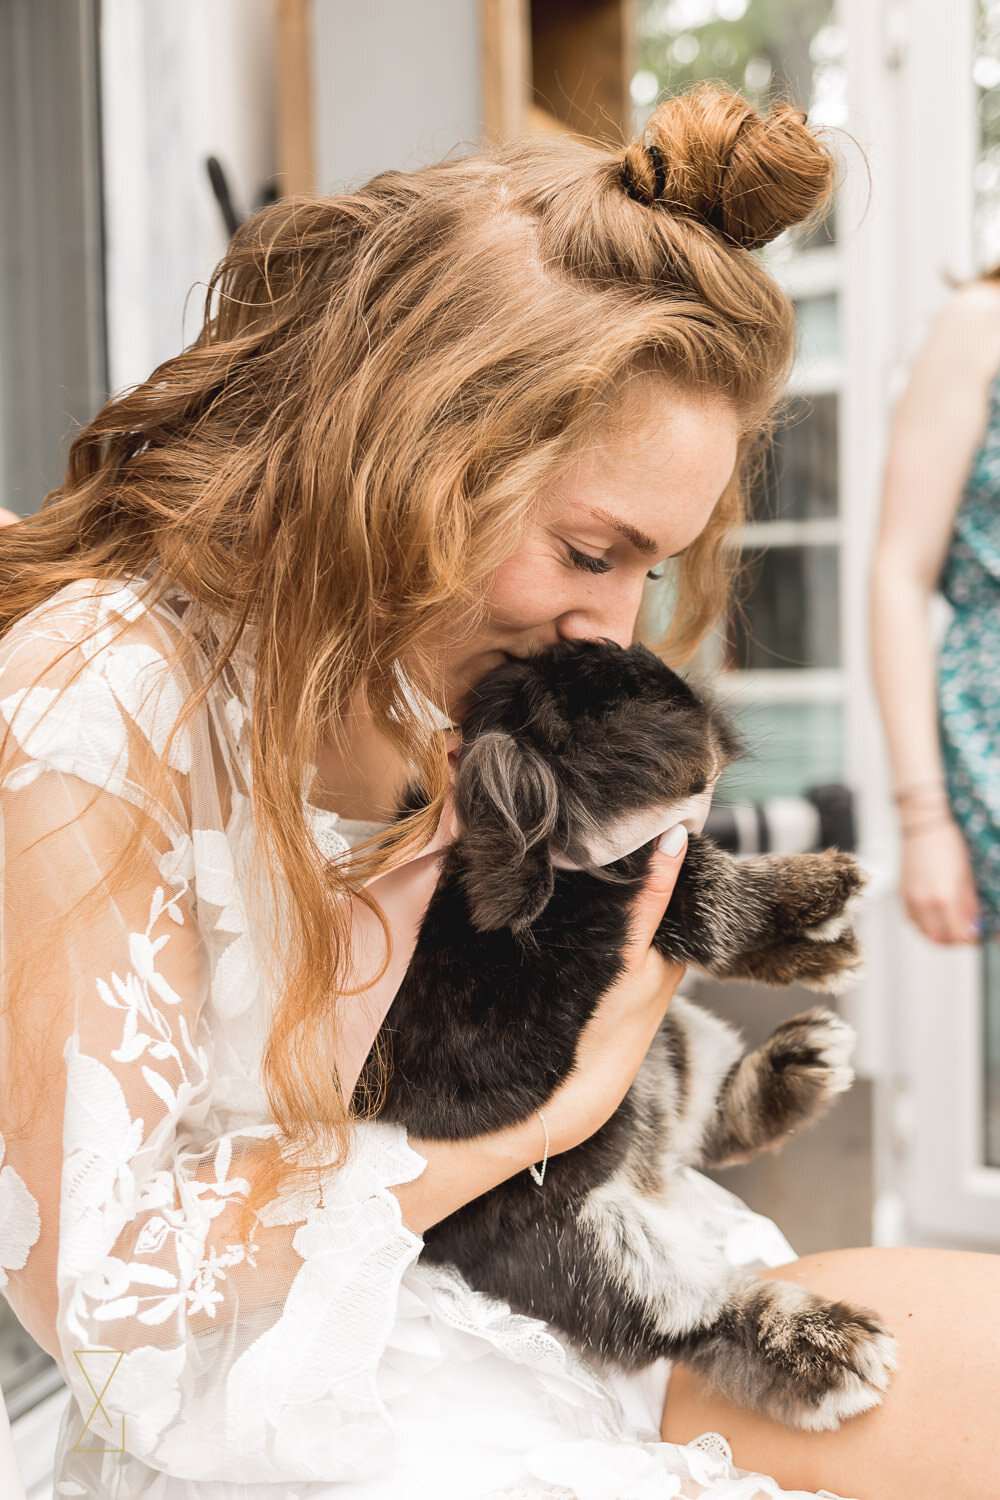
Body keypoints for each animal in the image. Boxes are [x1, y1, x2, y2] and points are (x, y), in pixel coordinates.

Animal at [355, 636, 893, 1428]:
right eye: (615, 707)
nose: (713, 731)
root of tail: (651, 1174)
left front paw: (829, 951)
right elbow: (698, 884)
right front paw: (827, 889)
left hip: (672, 1046)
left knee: (714, 1121)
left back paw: (804, 1064)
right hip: (600, 1251)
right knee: (699, 1318)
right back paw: (830, 1354)